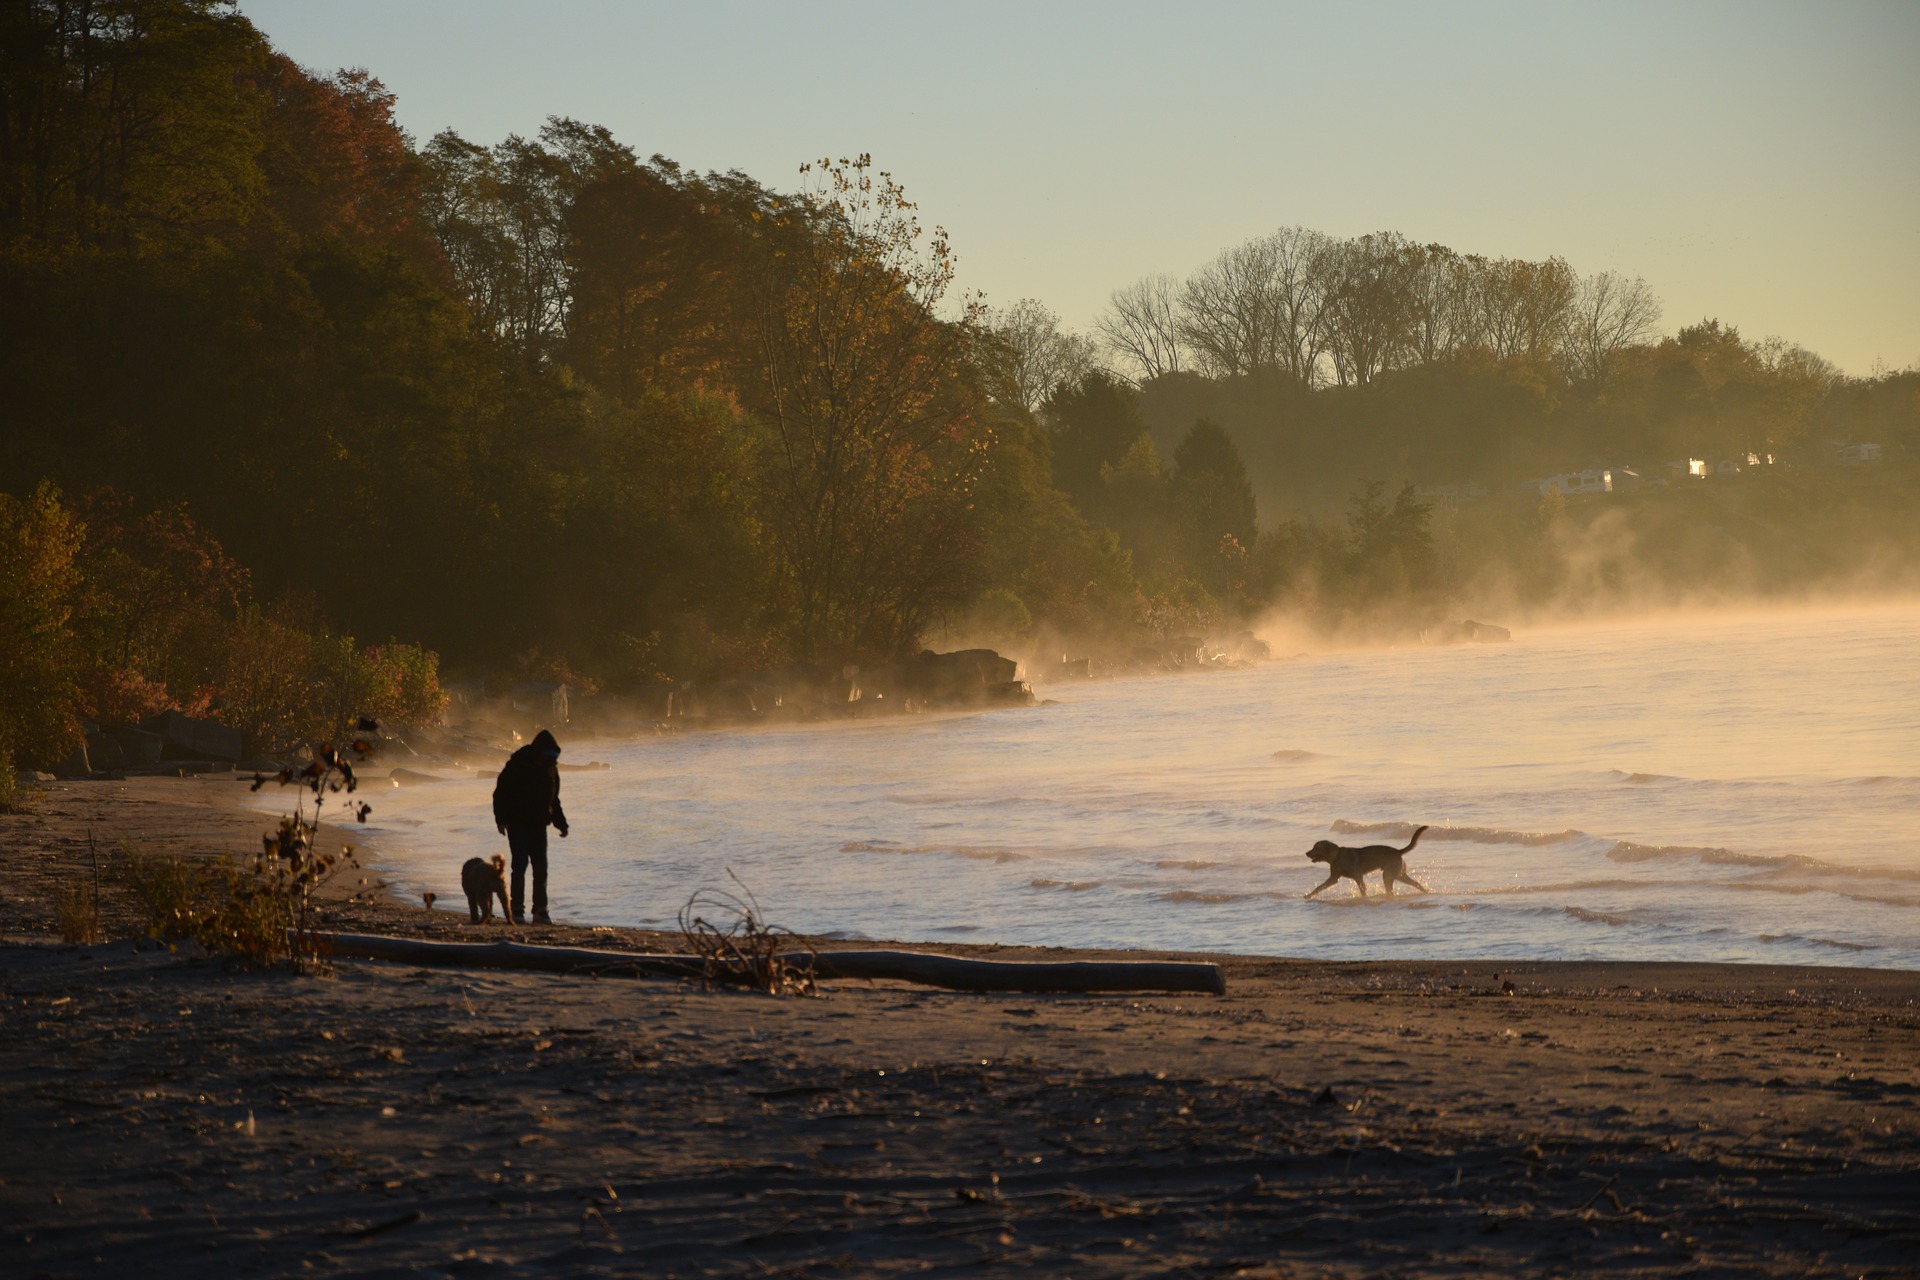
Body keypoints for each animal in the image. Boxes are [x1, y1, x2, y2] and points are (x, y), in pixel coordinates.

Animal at [1297, 825, 1436, 898]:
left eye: (1316, 847)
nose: (1306, 853)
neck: (1337, 856)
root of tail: (1398, 851)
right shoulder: (1333, 878)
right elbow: (1319, 887)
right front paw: (1309, 895)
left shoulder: (1358, 877)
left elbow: (1362, 889)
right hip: (1398, 875)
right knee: (1416, 883)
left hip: (1389, 875)